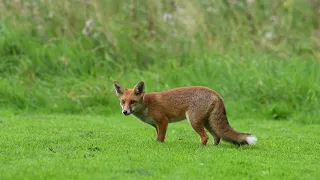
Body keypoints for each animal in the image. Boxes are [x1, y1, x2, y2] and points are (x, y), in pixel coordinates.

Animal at [113, 81, 258, 146]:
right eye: (123, 102)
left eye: (133, 102)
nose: (125, 111)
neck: (147, 105)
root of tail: (216, 94)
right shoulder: (156, 125)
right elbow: (157, 137)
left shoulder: (163, 121)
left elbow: (161, 138)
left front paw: (160, 146)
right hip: (208, 123)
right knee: (217, 136)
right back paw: (213, 148)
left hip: (194, 121)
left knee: (205, 137)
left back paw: (200, 148)